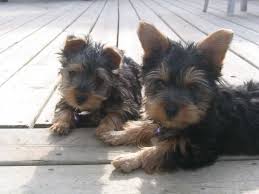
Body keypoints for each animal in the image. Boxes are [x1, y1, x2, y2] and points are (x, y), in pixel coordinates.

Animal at [101, 22, 259, 174]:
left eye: (192, 87)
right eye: (160, 83)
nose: (170, 110)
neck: (206, 110)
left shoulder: (199, 148)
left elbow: (163, 149)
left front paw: (129, 159)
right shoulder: (168, 122)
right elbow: (149, 126)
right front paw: (117, 134)